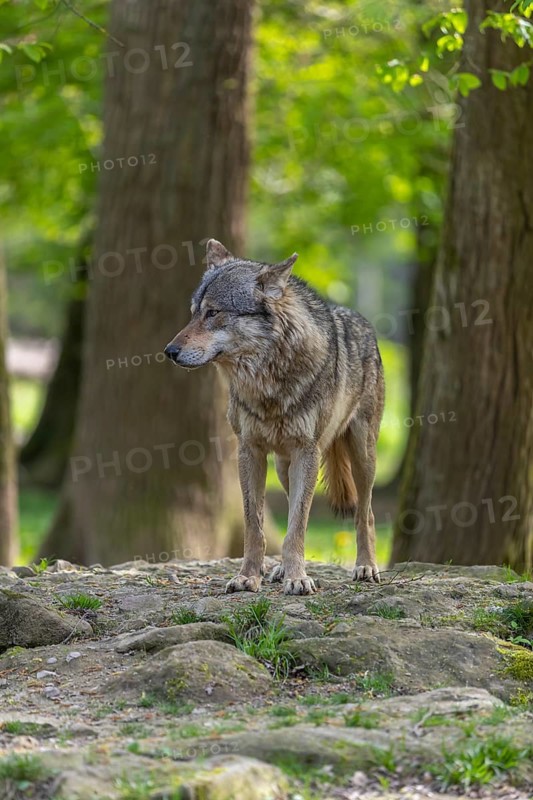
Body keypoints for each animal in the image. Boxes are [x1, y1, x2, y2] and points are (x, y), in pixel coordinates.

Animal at [164, 239, 385, 595]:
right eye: (194, 313)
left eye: (213, 313)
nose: (169, 351)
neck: (266, 383)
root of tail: (361, 320)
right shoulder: (249, 452)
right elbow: (255, 527)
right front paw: (247, 578)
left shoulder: (306, 453)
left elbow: (297, 526)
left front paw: (299, 579)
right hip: (283, 467)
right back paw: (280, 569)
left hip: (362, 458)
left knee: (366, 515)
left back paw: (366, 567)